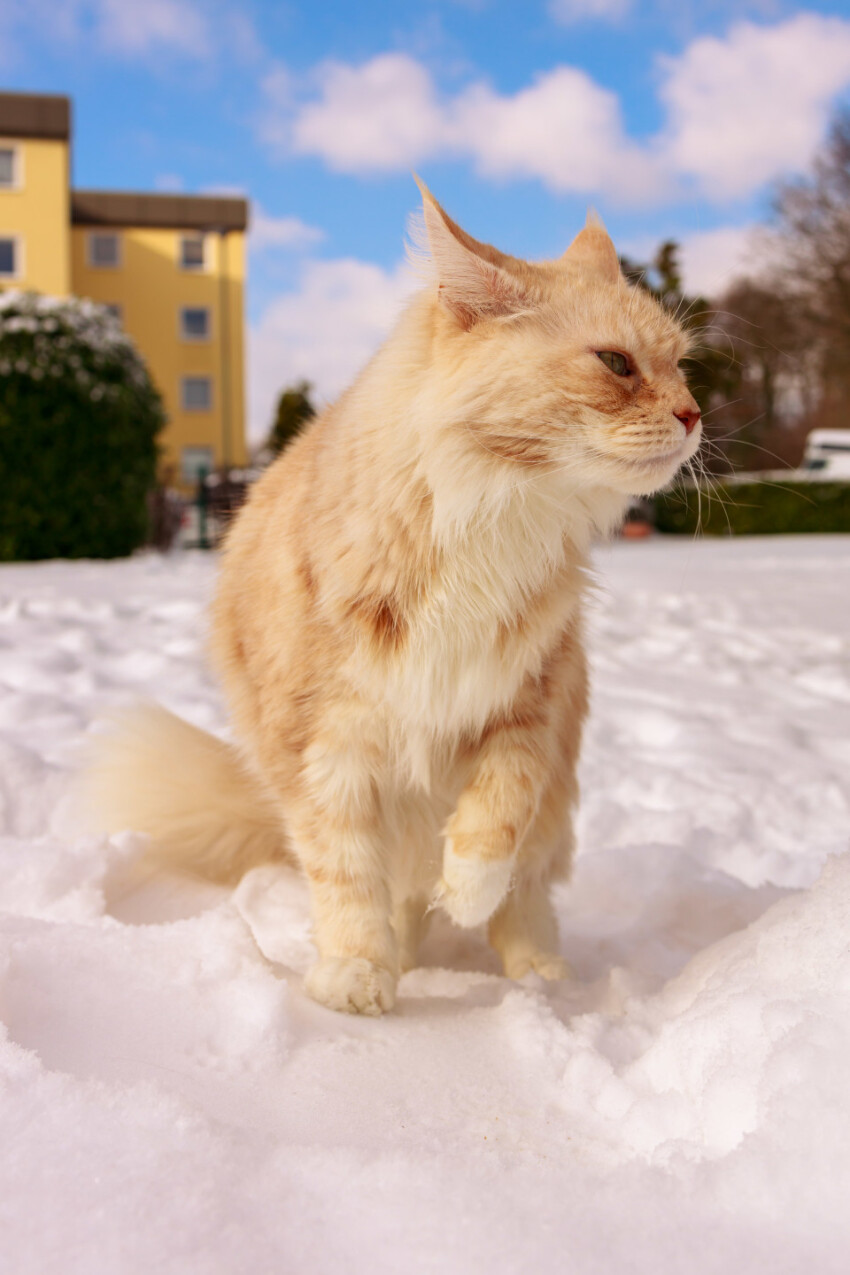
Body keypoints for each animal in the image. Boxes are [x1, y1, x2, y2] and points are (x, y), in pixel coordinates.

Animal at [84, 179, 703, 1014]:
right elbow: (347, 876)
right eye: (616, 363)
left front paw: (465, 891)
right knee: (400, 895)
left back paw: (539, 974)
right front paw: (358, 974)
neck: (495, 519)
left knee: (527, 901)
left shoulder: (530, 705)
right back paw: (407, 960)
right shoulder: (325, 743)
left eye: (680, 365)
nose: (694, 414)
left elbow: (497, 820)